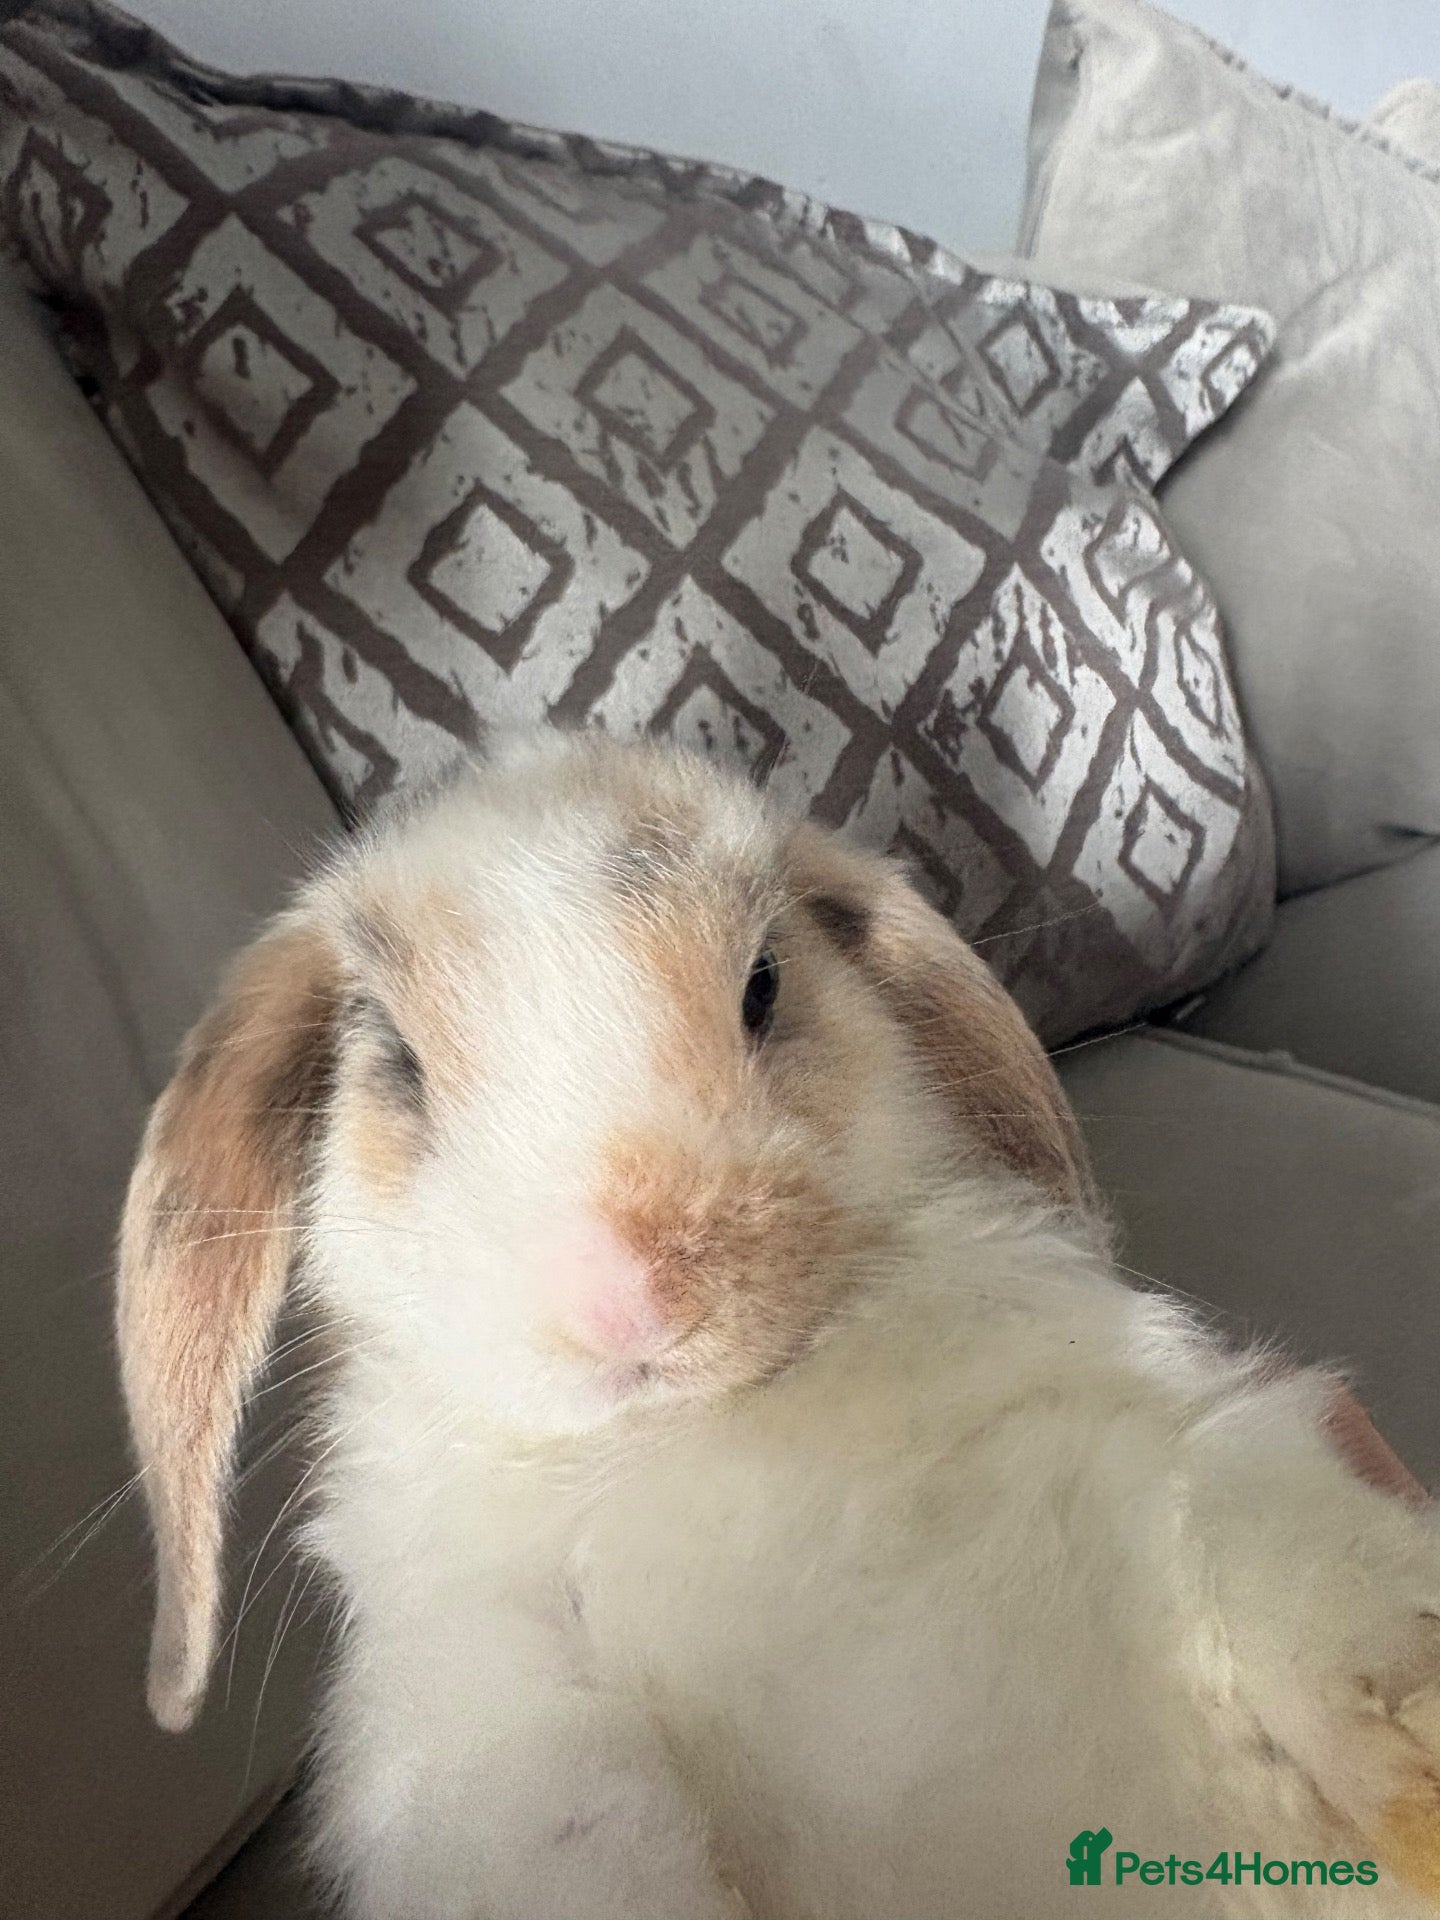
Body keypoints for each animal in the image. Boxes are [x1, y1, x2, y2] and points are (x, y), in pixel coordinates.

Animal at [116, 725, 1440, 1920]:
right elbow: (572, 1832)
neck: (706, 1437)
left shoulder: (1199, 1437)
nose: (630, 1296)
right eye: (395, 1062)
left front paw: (1417, 1784)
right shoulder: (487, 1723)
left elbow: (1274, 1532)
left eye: (765, 983)